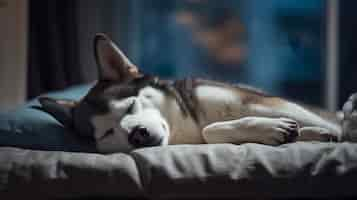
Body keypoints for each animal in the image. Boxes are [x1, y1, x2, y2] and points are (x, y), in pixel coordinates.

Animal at [37, 33, 356, 152]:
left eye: (130, 106)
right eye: (105, 133)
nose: (137, 134)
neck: (188, 125)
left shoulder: (268, 103)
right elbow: (210, 132)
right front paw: (281, 131)